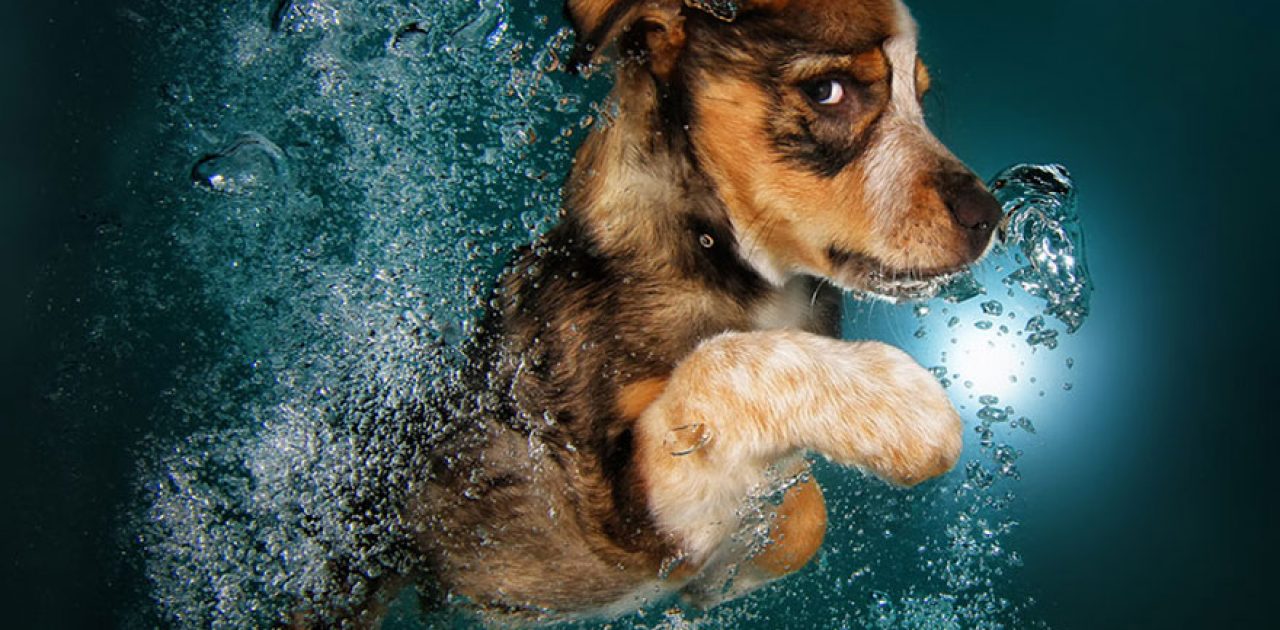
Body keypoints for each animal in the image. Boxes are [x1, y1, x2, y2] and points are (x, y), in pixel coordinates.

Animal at [376, 0, 998, 622]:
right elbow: (719, 364)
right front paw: (895, 405)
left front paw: (723, 577)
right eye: (827, 91)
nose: (989, 217)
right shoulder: (612, 516)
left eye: (920, 98)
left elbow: (803, 510)